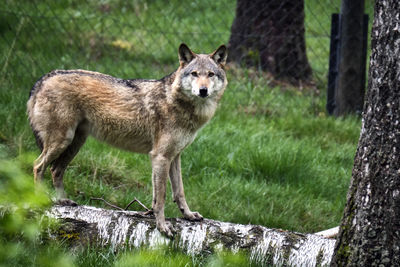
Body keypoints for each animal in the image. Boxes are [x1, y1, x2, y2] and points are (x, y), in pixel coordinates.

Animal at [27, 44, 228, 237]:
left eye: (210, 74)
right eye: (194, 74)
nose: (203, 90)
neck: (178, 103)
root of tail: (43, 79)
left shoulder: (174, 157)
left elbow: (178, 192)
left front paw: (188, 215)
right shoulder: (160, 157)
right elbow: (161, 197)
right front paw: (162, 227)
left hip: (75, 143)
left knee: (55, 170)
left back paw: (63, 200)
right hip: (62, 142)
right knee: (38, 166)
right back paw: (40, 201)